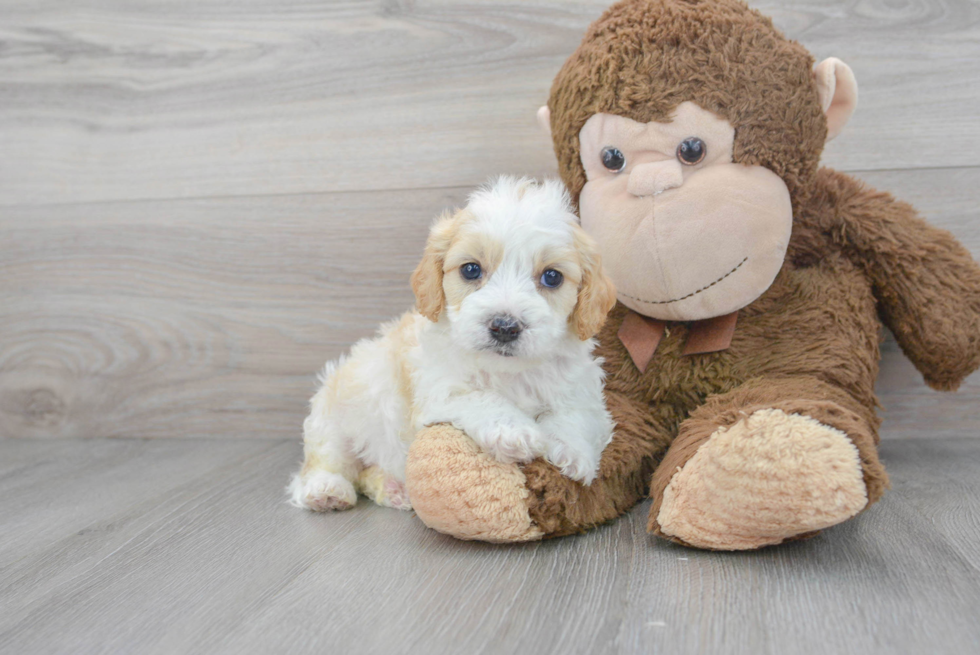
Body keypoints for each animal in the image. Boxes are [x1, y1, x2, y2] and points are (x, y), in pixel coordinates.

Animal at [288, 178, 616, 512]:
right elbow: (480, 397)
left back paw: (394, 488)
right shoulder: (436, 392)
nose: (505, 327)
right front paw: (513, 431)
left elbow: (577, 415)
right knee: (325, 462)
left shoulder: (584, 392)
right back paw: (326, 489)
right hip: (334, 415)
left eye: (552, 277)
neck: (509, 372)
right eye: (471, 269)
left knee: (367, 473)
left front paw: (570, 449)